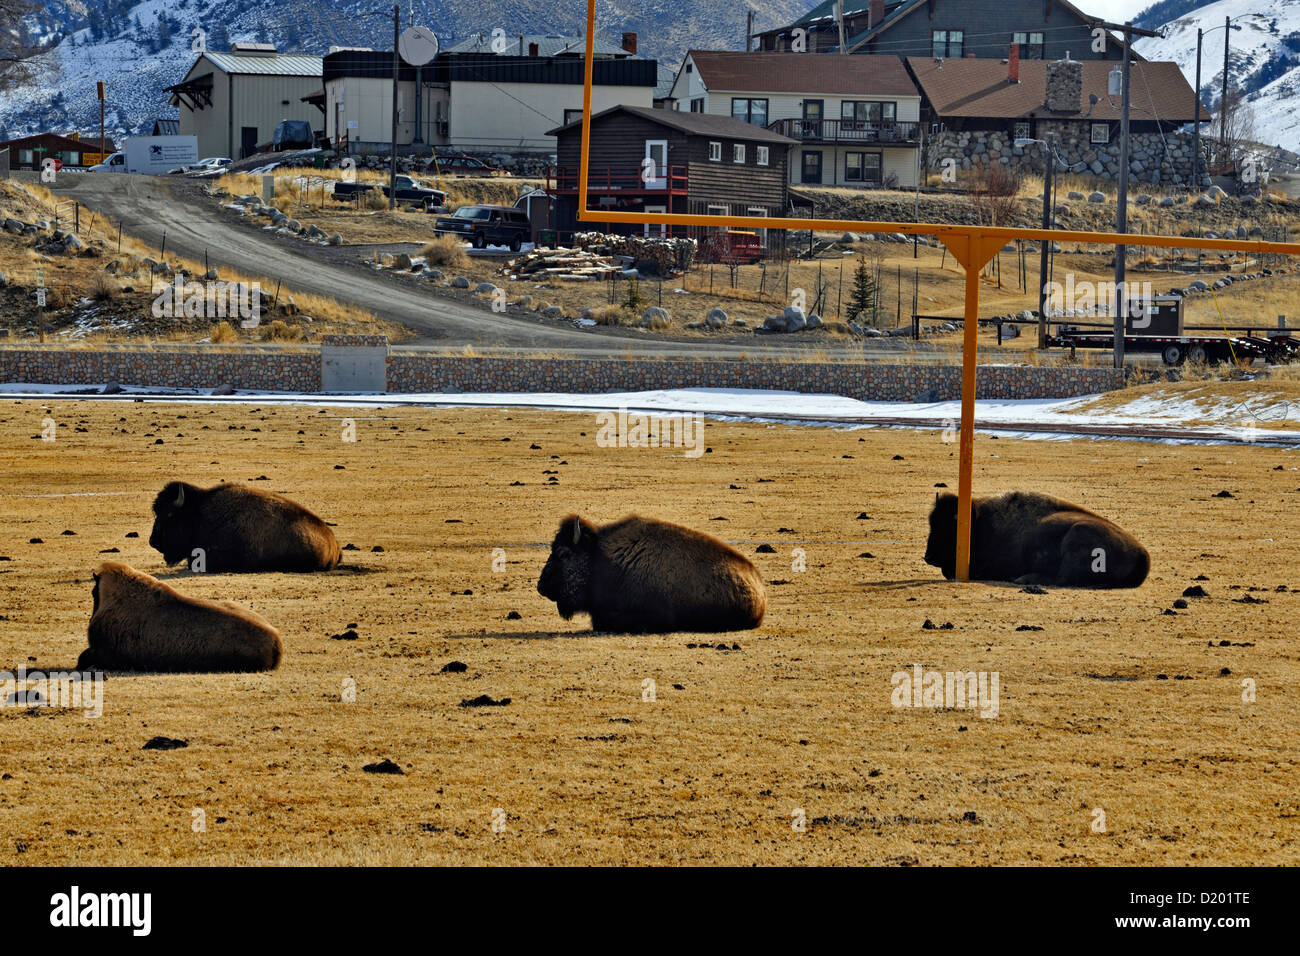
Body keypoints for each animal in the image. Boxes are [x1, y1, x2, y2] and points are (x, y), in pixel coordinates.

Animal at [924, 491, 1149, 588]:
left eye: (948, 527)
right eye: (932, 523)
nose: (928, 557)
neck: (979, 521)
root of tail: (1143, 555)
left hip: (1078, 534)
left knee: (1062, 579)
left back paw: (1023, 579)